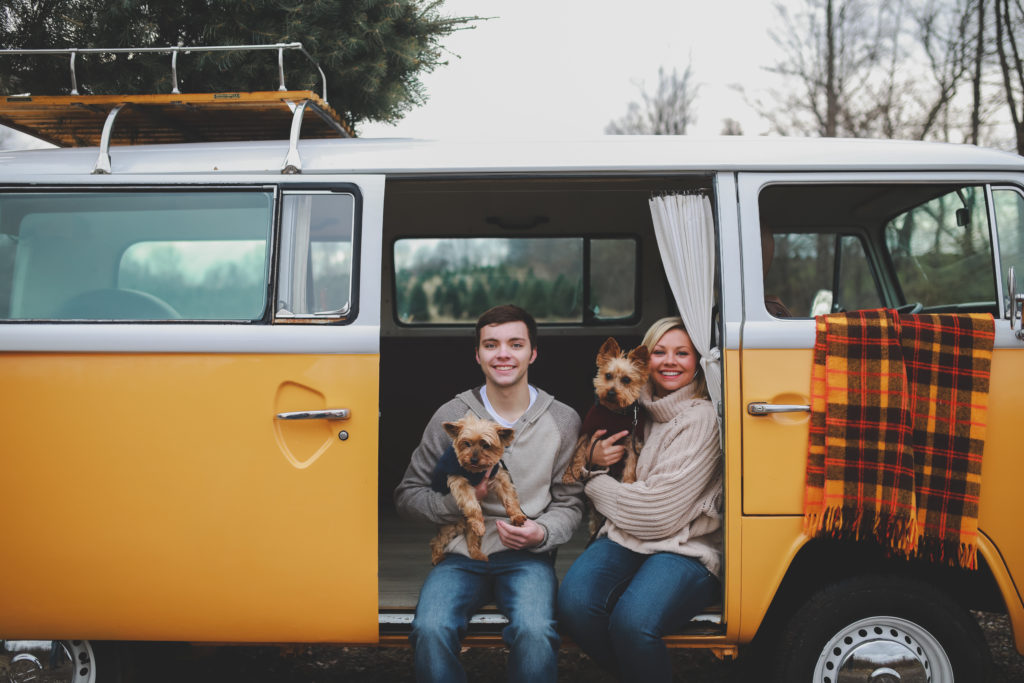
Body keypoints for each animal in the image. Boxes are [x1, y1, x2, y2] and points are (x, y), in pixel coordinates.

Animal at [430, 413, 528, 565]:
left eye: (486, 445)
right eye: (466, 443)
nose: (474, 460)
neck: (476, 471)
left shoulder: (498, 476)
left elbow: (509, 497)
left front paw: (517, 515)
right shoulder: (459, 481)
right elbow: (472, 505)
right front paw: (479, 523)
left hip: (466, 527)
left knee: (472, 539)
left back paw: (478, 554)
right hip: (449, 527)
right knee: (436, 541)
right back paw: (437, 557)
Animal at [565, 335, 643, 532]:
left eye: (626, 380)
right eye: (607, 376)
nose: (612, 392)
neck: (614, 412)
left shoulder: (632, 441)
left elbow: (631, 463)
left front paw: (628, 482)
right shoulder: (587, 433)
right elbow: (578, 455)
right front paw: (569, 475)